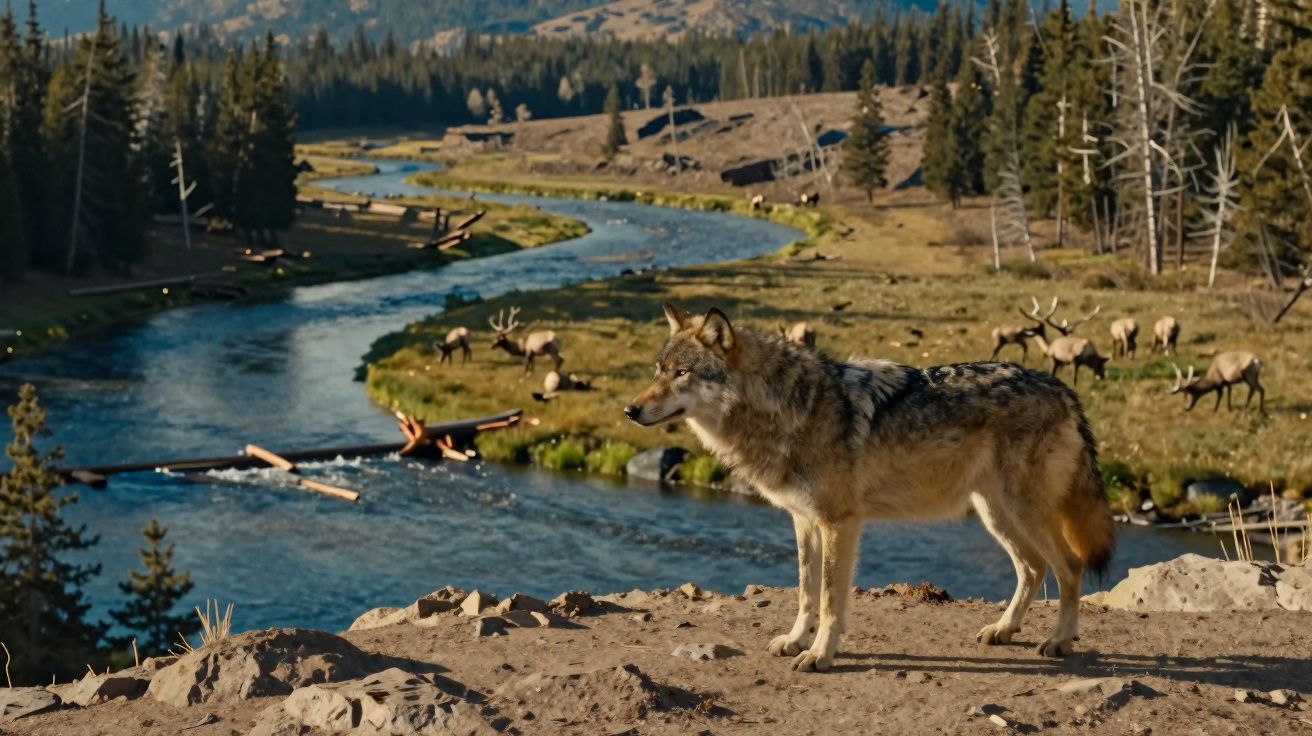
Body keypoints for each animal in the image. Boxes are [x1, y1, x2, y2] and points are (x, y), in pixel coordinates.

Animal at [624, 304, 1113, 672]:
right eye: (658, 370)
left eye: (682, 373)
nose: (630, 410)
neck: (787, 408)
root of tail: (1060, 387)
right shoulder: (804, 521)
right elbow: (805, 592)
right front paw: (796, 640)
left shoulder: (839, 522)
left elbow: (829, 597)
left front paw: (820, 654)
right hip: (996, 514)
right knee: (1032, 567)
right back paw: (1004, 629)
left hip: (1024, 511)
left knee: (1069, 566)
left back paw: (1060, 641)